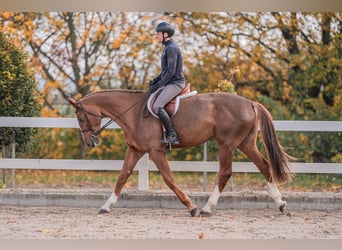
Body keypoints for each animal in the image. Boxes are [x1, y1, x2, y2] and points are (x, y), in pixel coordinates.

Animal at [69, 89, 294, 216]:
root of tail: (250, 102)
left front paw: (191, 207)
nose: (91, 142)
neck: (133, 113)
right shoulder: (135, 150)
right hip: (246, 143)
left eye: (80, 118)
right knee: (264, 166)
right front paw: (106, 206)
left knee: (225, 173)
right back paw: (281, 204)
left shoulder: (156, 151)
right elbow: (122, 177)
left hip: (227, 145)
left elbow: (169, 179)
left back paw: (206, 208)